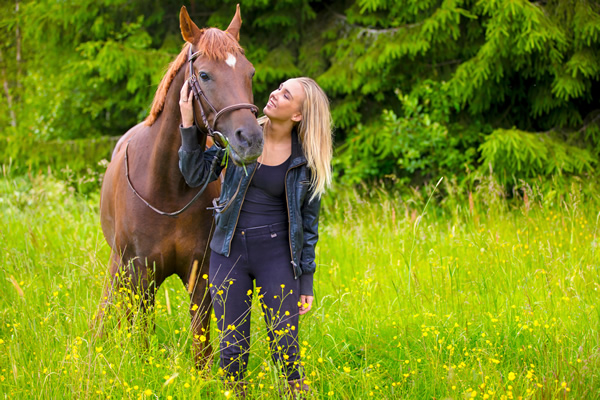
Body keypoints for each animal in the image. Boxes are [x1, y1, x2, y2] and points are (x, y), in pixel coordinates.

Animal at [95, 7, 262, 368]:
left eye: (250, 72)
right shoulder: (142, 275)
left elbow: (201, 346)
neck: (168, 189)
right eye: (205, 75)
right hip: (119, 266)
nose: (251, 139)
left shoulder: (200, 276)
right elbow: (142, 335)